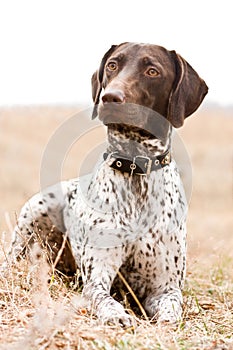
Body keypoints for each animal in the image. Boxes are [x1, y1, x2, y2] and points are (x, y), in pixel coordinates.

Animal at [4, 43, 208, 326]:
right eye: (112, 65)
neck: (136, 167)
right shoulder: (97, 278)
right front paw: (117, 315)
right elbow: (105, 299)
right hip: (36, 211)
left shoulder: (166, 288)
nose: (110, 97)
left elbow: (171, 312)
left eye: (152, 71)